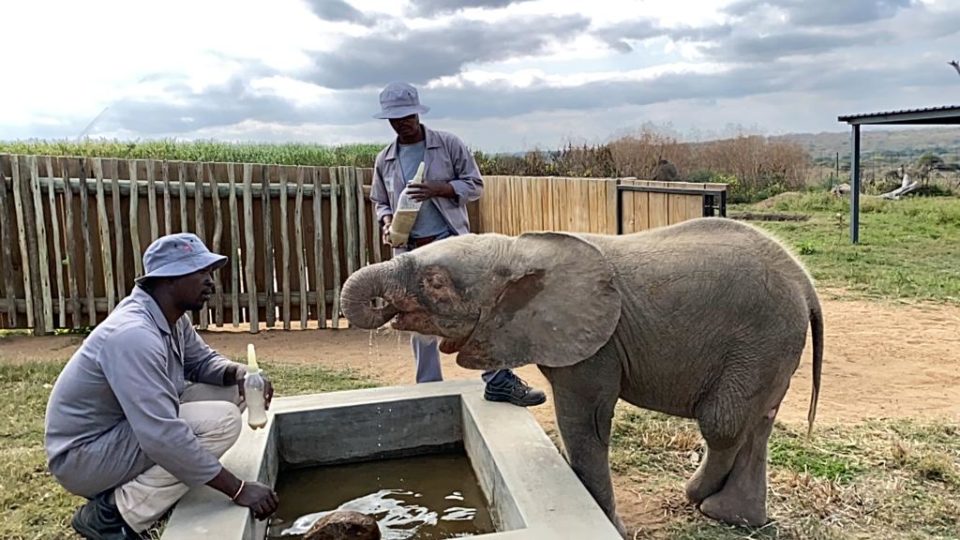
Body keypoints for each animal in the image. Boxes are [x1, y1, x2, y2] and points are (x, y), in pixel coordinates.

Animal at [339, 217, 824, 537]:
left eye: (436, 283)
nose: (382, 307)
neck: (517, 252)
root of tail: (805, 283)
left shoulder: (597, 344)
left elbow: (583, 422)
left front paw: (612, 526)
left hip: (761, 338)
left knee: (723, 423)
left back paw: (697, 497)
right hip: (772, 346)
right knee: (757, 423)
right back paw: (730, 516)